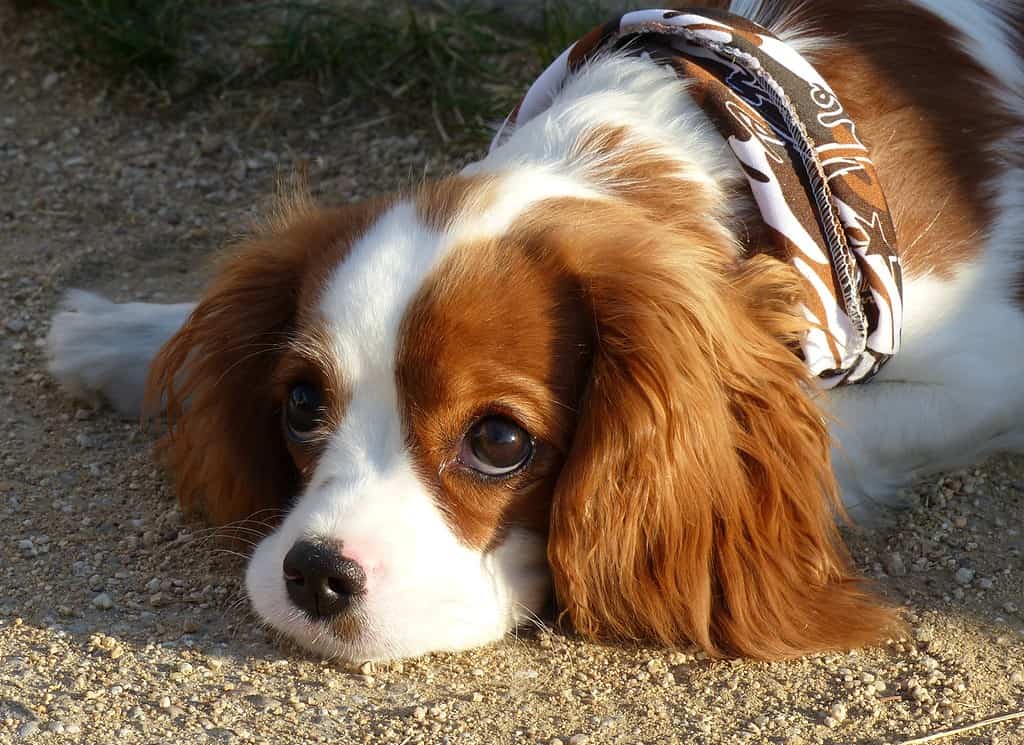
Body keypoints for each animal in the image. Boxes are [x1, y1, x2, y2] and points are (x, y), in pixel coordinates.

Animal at [48, 0, 1024, 663]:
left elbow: (825, 427)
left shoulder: (989, 373)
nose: (315, 573)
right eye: (299, 403)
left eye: (499, 441)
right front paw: (120, 334)